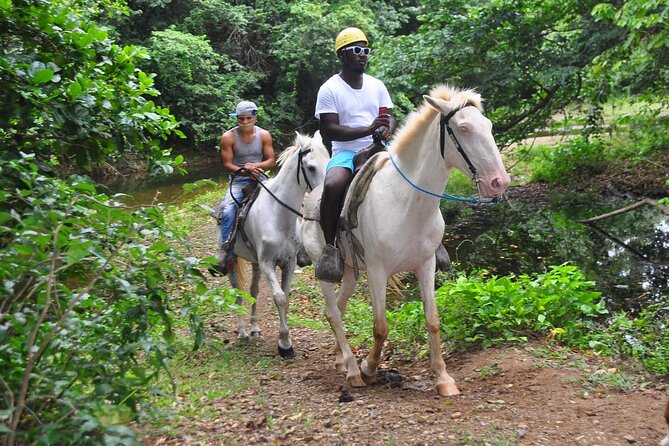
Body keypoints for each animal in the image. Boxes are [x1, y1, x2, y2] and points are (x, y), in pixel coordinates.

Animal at [300, 85, 508, 396]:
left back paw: (341, 360)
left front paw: (443, 378)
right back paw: (353, 371)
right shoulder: (377, 272)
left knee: (338, 307)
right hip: (324, 268)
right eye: (464, 128)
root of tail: (309, 199)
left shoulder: (426, 265)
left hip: (350, 273)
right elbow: (380, 327)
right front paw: (369, 368)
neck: (407, 202)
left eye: (489, 126)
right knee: (334, 313)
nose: (498, 182)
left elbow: (433, 320)